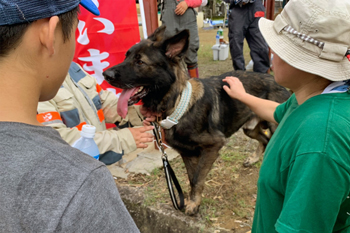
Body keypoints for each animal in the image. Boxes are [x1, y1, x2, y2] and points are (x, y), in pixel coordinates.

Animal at [103, 25, 290, 215]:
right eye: (126, 56)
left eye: (140, 62)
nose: (105, 74)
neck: (177, 105)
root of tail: (277, 81)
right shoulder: (187, 153)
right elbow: (192, 177)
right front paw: (193, 201)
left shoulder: (213, 146)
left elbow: (197, 178)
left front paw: (193, 204)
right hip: (249, 129)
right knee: (265, 140)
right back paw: (254, 159)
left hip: (274, 126)